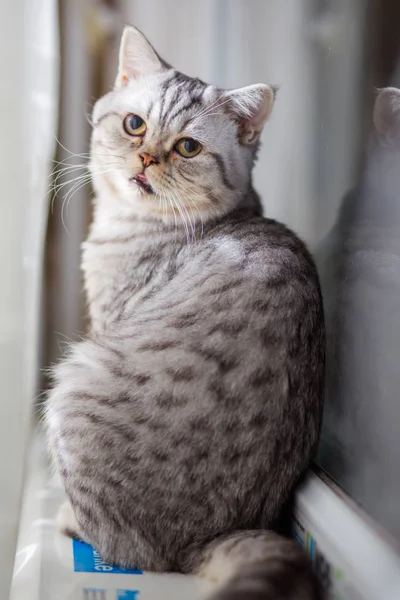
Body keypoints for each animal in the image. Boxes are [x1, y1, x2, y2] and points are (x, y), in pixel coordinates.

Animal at [45, 25, 324, 596]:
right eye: (134, 125)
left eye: (188, 147)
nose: (147, 159)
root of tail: (206, 540)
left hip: (72, 385)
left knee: (125, 546)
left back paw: (69, 521)